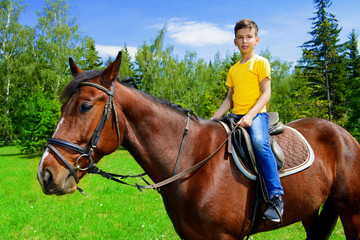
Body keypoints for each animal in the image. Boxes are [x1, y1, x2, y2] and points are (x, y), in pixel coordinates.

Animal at [36, 53, 360, 240]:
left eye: (85, 106)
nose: (45, 174)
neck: (193, 163)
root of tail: (344, 134)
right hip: (309, 208)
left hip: (351, 210)